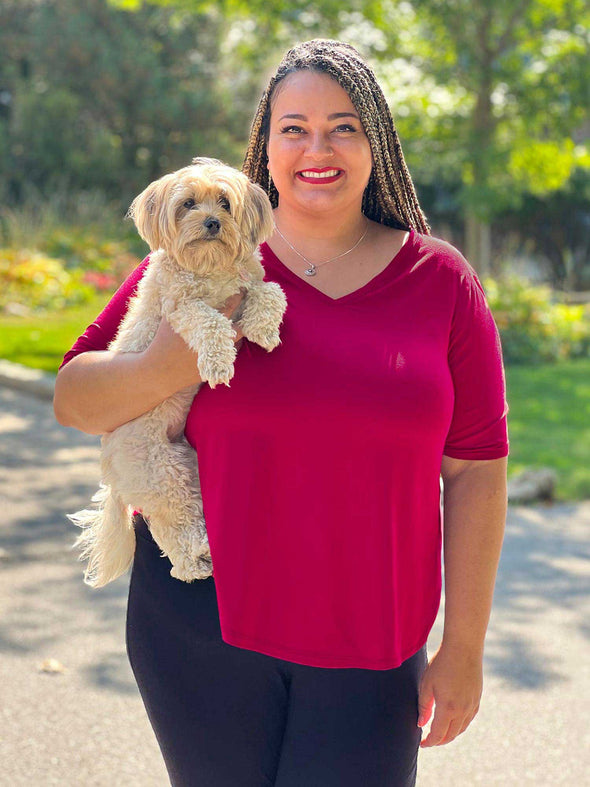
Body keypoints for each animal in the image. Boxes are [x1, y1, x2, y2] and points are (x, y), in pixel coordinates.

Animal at [69, 159, 290, 584]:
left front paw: (264, 328)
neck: (209, 267)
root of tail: (112, 474)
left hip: (185, 469)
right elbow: (211, 321)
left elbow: (270, 292)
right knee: (170, 525)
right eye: (188, 204)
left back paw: (199, 559)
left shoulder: (247, 285)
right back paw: (199, 555)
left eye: (225, 202)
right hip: (162, 474)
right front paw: (219, 362)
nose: (212, 222)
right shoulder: (181, 307)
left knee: (169, 527)